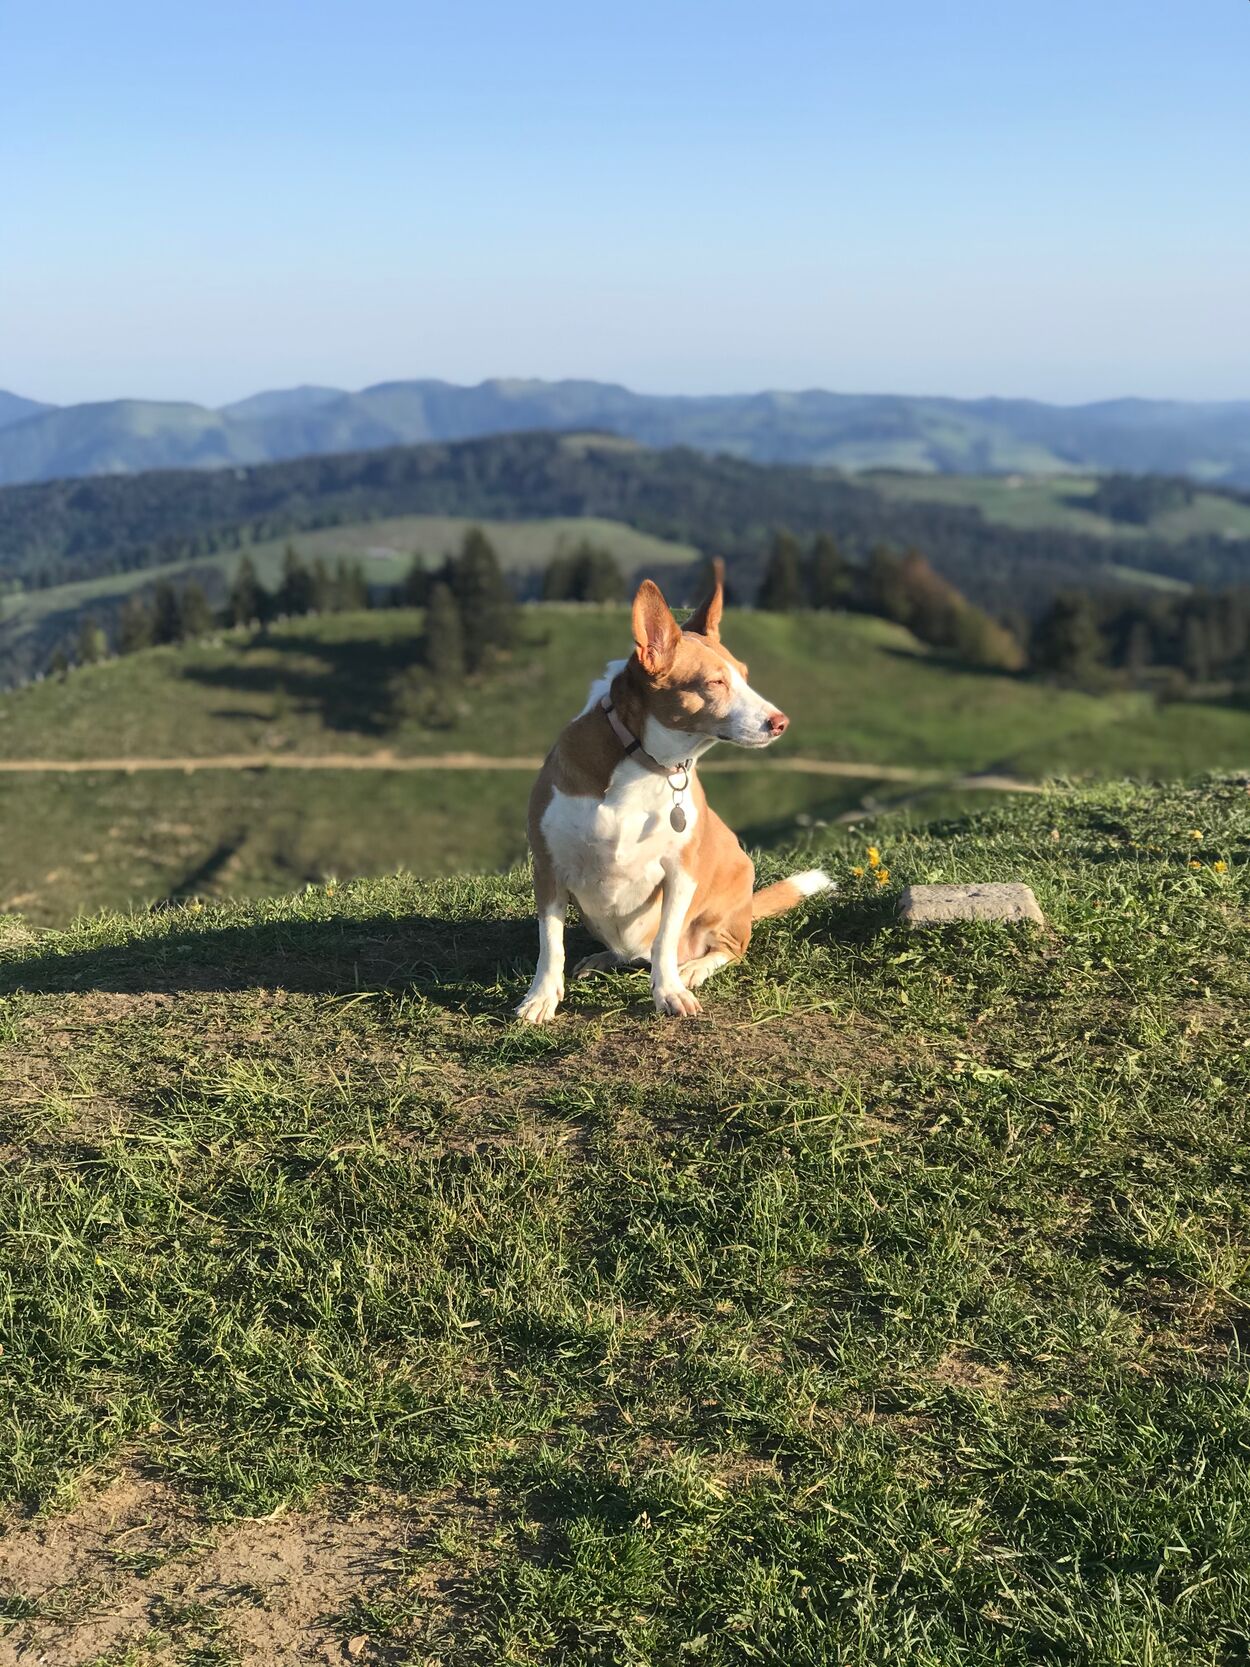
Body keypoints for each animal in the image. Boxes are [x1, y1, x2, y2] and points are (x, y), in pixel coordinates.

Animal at [517, 561, 831, 1023]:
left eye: (744, 676)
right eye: (715, 683)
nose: (780, 722)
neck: (643, 763)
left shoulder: (680, 873)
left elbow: (665, 940)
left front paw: (669, 992)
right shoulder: (548, 869)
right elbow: (550, 943)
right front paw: (541, 996)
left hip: (731, 895)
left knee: (725, 949)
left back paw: (694, 968)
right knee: (628, 952)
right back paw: (604, 958)